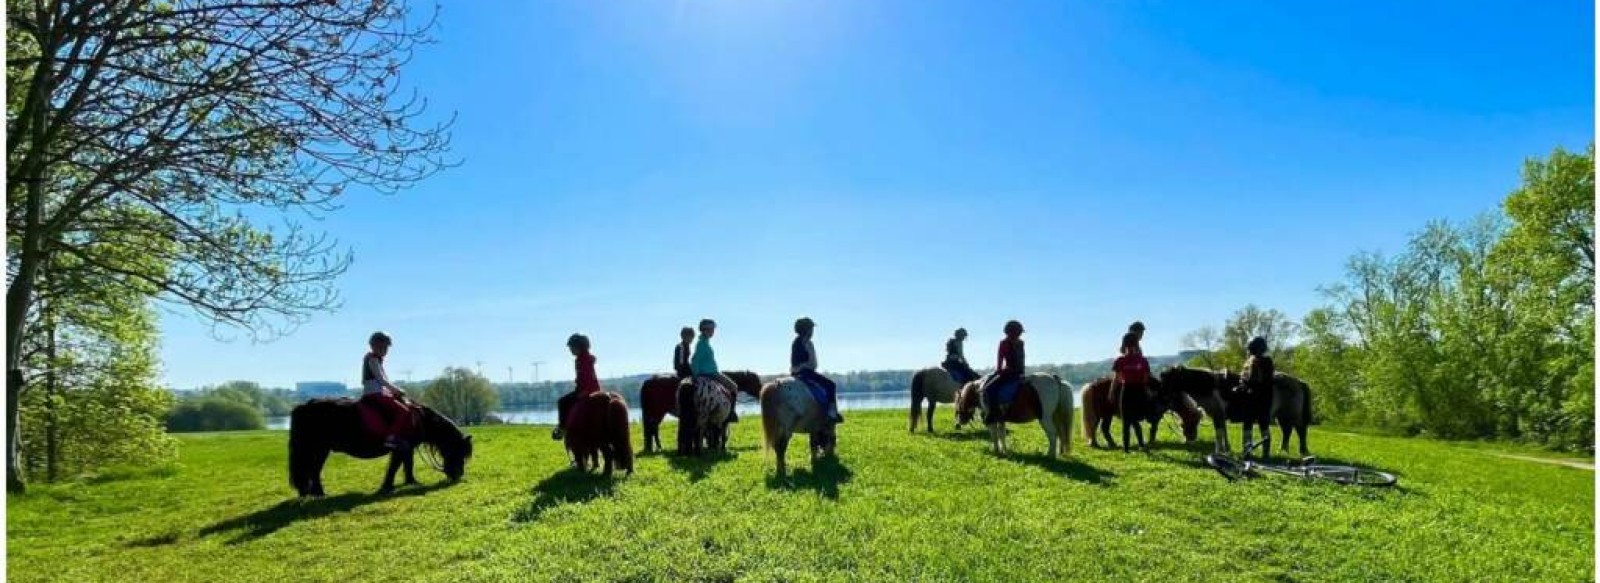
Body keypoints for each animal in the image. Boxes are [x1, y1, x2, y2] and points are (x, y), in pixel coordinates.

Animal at [286, 395, 470, 496]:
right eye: (459, 452)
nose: (458, 475)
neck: (419, 419)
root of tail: (303, 406)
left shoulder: (407, 448)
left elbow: (406, 465)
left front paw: (410, 482)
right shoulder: (401, 447)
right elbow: (395, 467)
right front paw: (388, 486)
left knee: (309, 471)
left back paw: (308, 493)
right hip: (318, 449)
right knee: (313, 471)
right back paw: (319, 494)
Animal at [947, 373, 1075, 461]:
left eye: (957, 403)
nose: (959, 423)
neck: (979, 390)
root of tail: (1055, 379)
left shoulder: (991, 421)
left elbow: (994, 436)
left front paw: (996, 450)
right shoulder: (1000, 420)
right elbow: (1002, 435)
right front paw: (1005, 450)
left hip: (1045, 419)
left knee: (1053, 435)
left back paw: (1050, 455)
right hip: (1055, 417)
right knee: (1060, 433)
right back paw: (1059, 452)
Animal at [1075, 376, 1203, 451]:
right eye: (1194, 421)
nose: (1192, 438)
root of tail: (1091, 385)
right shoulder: (1156, 416)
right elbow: (1153, 430)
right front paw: (1151, 442)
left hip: (1106, 415)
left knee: (1102, 428)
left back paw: (1109, 444)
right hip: (1103, 414)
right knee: (1095, 427)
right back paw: (1097, 443)